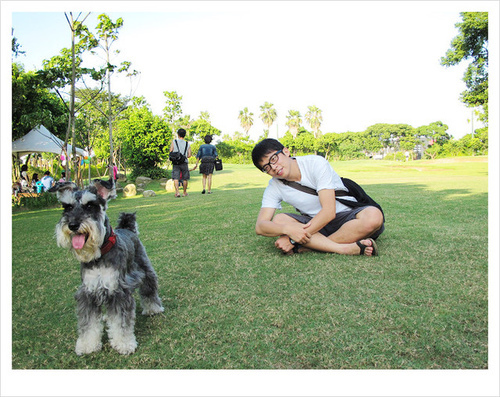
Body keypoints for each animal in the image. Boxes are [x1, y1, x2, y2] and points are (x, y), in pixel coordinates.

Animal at [48, 178, 163, 354]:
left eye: (90, 205)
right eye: (67, 207)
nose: (73, 225)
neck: (99, 256)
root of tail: (127, 228)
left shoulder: (118, 291)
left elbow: (121, 322)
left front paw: (124, 344)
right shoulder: (88, 292)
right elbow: (88, 323)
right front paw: (87, 344)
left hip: (144, 269)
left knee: (149, 289)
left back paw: (153, 308)